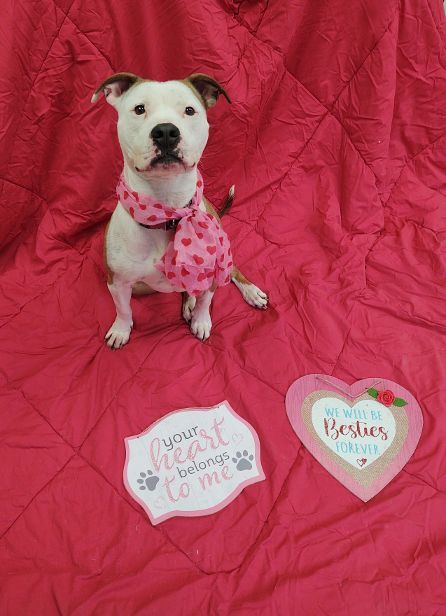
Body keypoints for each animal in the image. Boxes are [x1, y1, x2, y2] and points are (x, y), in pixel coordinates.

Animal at [91, 71, 268, 346]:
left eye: (189, 110)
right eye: (139, 109)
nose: (165, 131)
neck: (167, 211)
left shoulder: (212, 271)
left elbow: (206, 301)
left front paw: (201, 321)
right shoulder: (117, 281)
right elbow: (123, 309)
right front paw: (121, 330)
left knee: (232, 271)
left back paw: (249, 291)